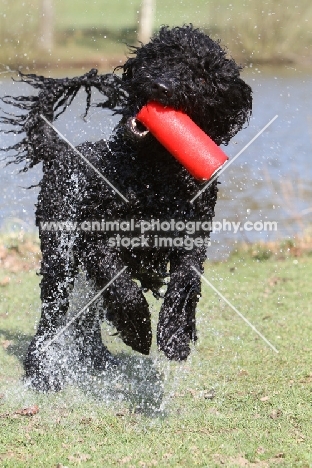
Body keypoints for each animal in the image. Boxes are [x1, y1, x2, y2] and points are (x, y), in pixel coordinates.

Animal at [0, 25, 251, 392]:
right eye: (161, 57)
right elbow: (121, 285)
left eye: (201, 76)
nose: (161, 87)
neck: (154, 174)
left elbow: (184, 284)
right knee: (53, 313)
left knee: (85, 317)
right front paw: (137, 328)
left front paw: (176, 334)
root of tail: (61, 148)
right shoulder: (95, 240)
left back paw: (97, 359)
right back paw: (42, 371)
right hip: (60, 253)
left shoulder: (193, 239)